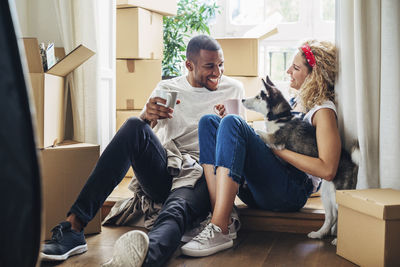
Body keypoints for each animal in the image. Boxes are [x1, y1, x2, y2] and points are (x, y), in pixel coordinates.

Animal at [244, 76, 360, 246]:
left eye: (259, 96)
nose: (242, 99)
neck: (280, 117)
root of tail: (352, 162)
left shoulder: (275, 139)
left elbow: (257, 130)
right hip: (327, 193)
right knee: (331, 217)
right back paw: (319, 234)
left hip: (338, 194)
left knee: (342, 215)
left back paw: (339, 240)